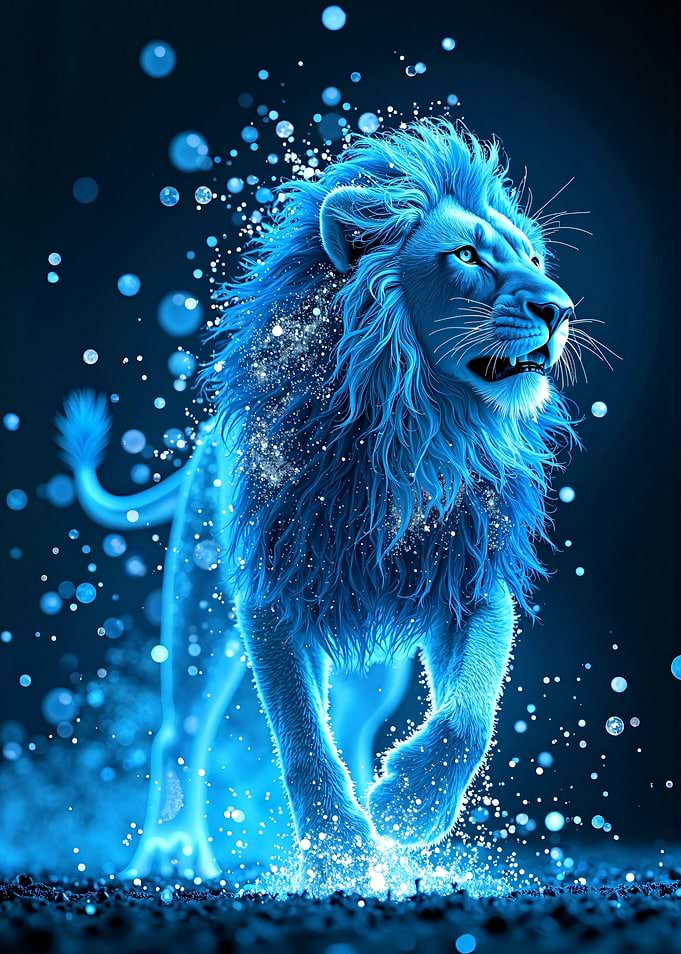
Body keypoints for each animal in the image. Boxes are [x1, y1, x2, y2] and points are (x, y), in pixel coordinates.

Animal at [57, 119, 581, 887]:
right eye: (465, 256)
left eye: (534, 257)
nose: (558, 309)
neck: (415, 428)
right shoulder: (276, 595)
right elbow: (302, 739)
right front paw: (339, 853)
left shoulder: (469, 581)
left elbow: (468, 714)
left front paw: (406, 810)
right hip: (198, 611)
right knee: (181, 727)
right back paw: (173, 853)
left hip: (375, 664)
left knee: (357, 725)